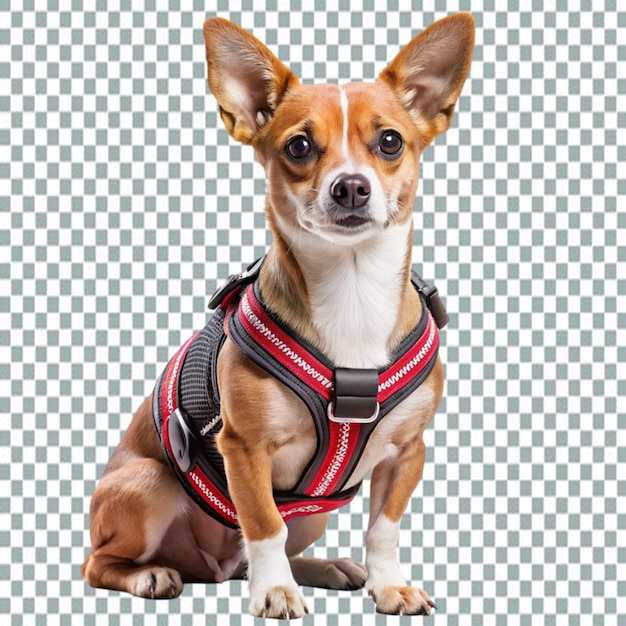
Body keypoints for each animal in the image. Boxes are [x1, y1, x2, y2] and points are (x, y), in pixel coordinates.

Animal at [83, 15, 472, 620]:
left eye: (390, 141)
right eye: (299, 146)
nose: (351, 185)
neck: (352, 290)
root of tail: (208, 567)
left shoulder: (407, 453)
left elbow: (383, 528)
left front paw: (389, 585)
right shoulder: (244, 449)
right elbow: (264, 524)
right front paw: (276, 593)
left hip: (316, 512)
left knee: (256, 554)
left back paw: (325, 568)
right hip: (149, 483)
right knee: (101, 563)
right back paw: (152, 575)